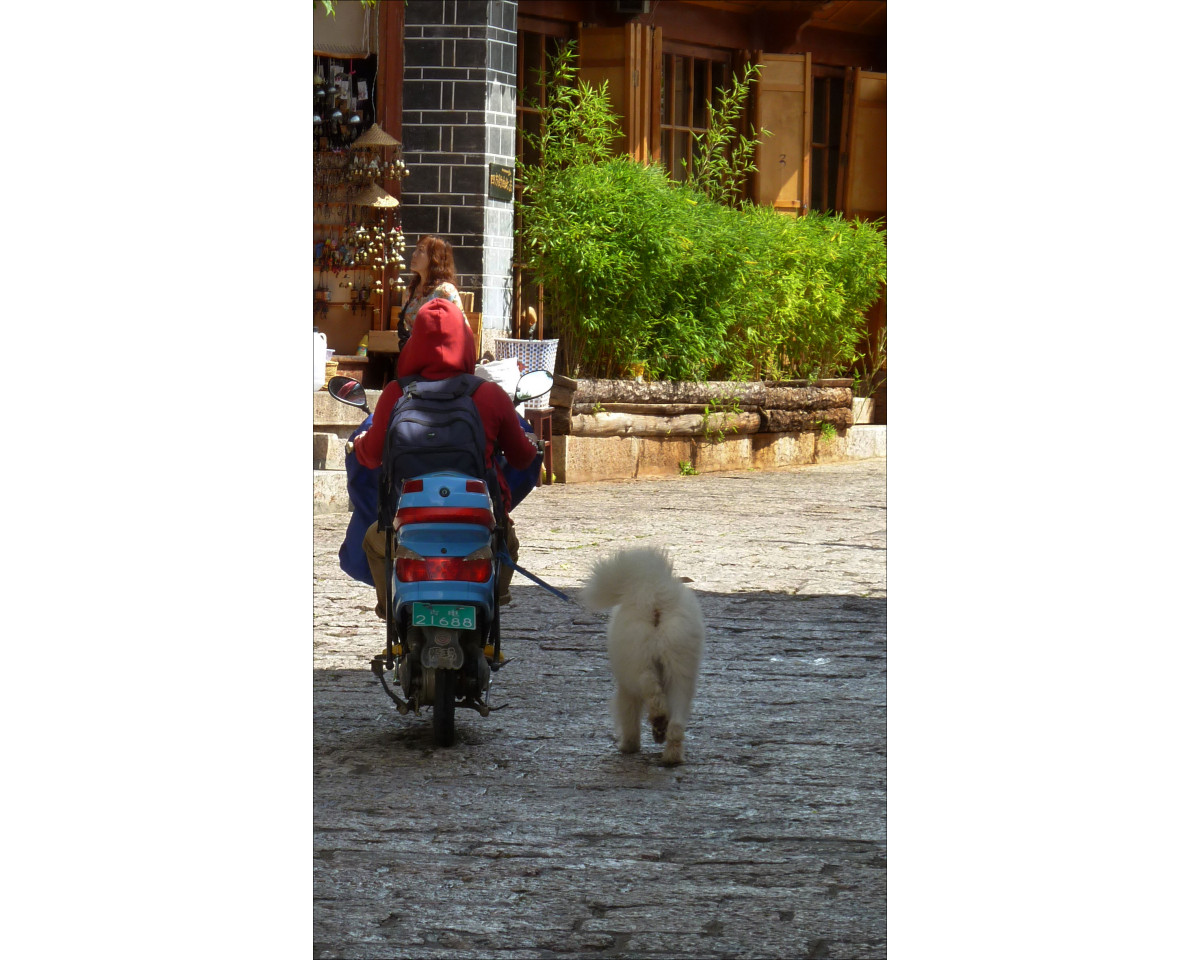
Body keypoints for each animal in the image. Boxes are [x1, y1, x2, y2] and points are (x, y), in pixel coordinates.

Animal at [580, 547, 700, 763]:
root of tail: (655, 597)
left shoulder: (625, 689)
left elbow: (628, 717)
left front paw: (629, 746)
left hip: (638, 664)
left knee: (650, 690)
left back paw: (658, 720)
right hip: (680, 669)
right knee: (677, 720)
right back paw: (671, 754)